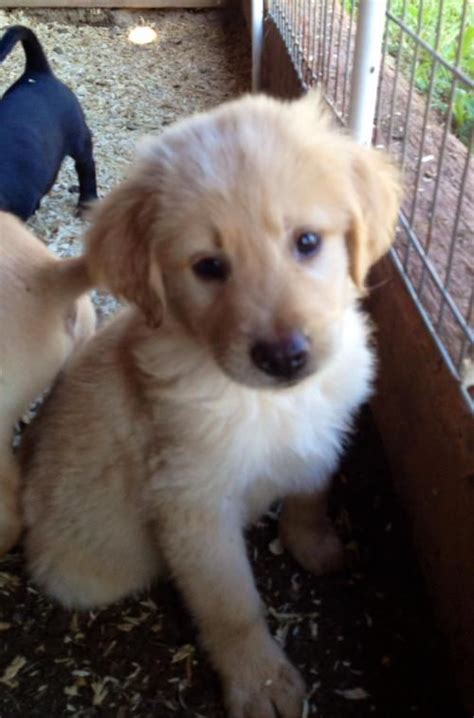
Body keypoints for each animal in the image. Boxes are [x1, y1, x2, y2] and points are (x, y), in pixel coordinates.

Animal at [21, 95, 400, 718]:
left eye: (307, 242)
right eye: (208, 266)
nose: (285, 357)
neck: (265, 401)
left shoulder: (318, 436)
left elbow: (310, 491)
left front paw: (315, 544)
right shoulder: (193, 503)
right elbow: (231, 604)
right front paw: (262, 683)